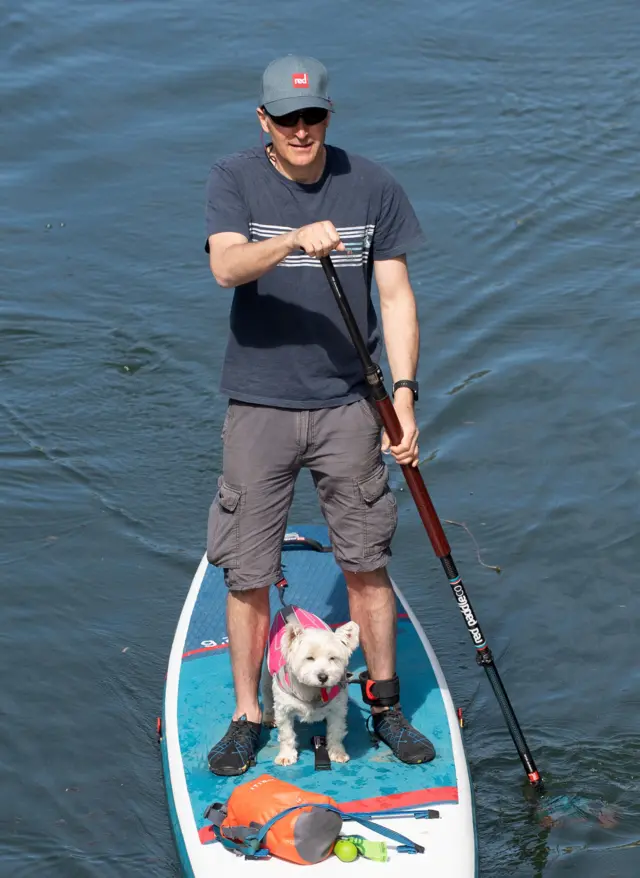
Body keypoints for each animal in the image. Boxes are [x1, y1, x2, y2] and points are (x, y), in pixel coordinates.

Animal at [262, 620, 360, 768]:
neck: (313, 689)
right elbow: (286, 734)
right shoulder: (284, 710)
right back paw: (268, 717)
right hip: (267, 675)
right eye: (309, 658)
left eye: (332, 658)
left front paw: (337, 752)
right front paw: (286, 755)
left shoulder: (337, 709)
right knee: (266, 693)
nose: (323, 677)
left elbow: (336, 731)